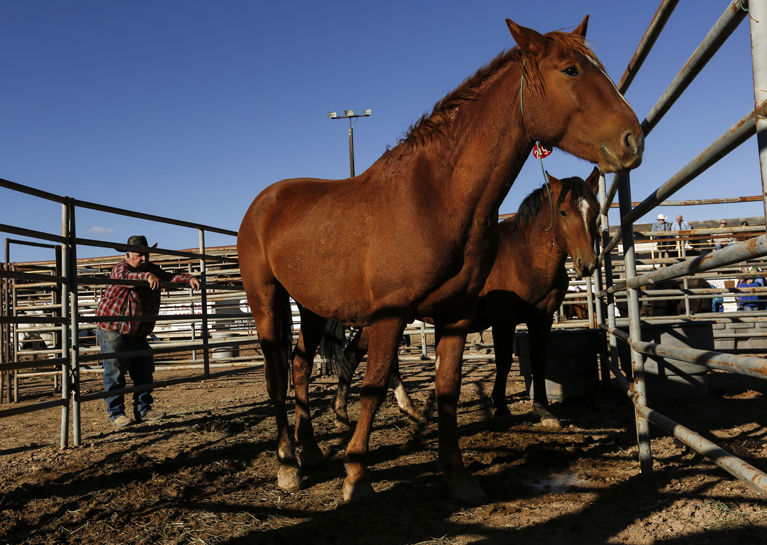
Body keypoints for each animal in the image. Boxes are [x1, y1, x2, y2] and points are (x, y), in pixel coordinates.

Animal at [323, 168, 601, 431]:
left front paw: (543, 410)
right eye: (563, 212)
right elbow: (503, 361)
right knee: (355, 356)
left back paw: (400, 411)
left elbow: (539, 362)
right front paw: (500, 407)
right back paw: (345, 414)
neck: (525, 257)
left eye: (596, 211)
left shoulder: (542, 319)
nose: (587, 264)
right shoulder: (503, 319)